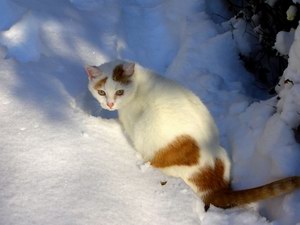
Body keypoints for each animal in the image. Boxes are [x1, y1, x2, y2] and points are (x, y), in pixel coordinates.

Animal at [85, 59, 300, 209]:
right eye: (102, 92)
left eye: (120, 92)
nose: (109, 104)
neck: (138, 84)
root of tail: (212, 180)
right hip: (222, 151)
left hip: (148, 132)